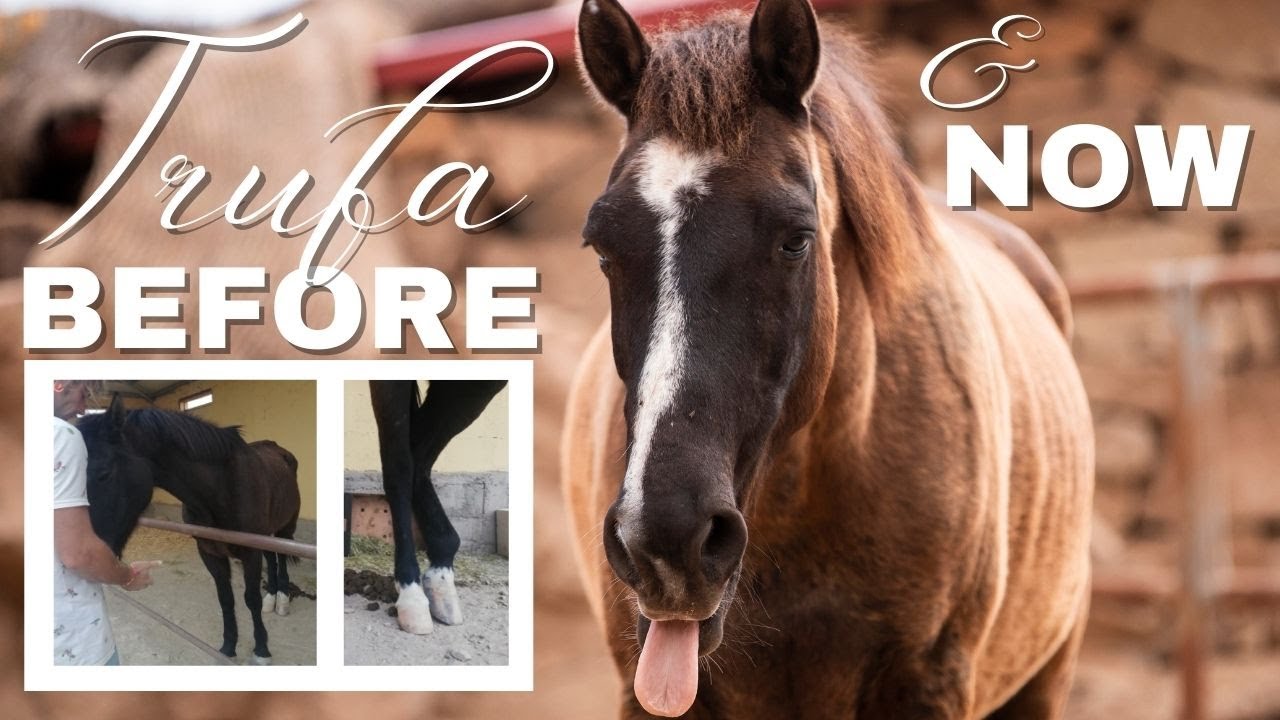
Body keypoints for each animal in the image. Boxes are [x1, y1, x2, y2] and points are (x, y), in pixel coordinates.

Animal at [78, 394, 301, 665]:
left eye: (103, 473)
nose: (89, 555)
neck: (222, 487)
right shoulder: (209, 552)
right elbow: (226, 599)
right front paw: (228, 647)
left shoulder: (250, 553)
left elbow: (251, 599)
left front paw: (261, 649)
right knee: (271, 558)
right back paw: (272, 597)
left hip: (284, 529)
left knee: (281, 557)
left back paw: (281, 599)